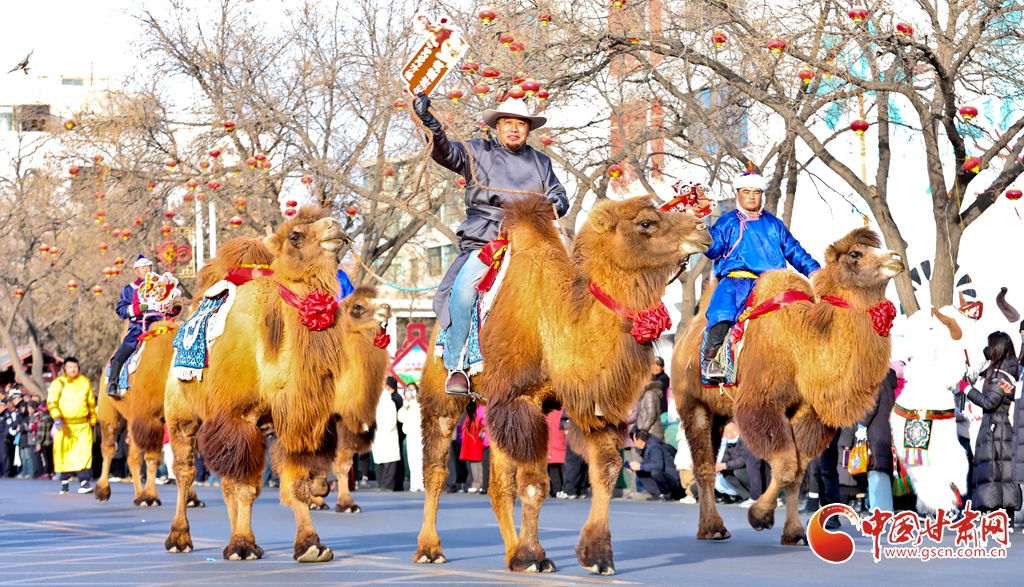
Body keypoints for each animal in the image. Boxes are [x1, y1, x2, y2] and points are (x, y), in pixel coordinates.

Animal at [94, 237, 275, 507]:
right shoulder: (150, 415)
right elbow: (153, 458)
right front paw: (151, 496)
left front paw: (190, 498)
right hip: (110, 412)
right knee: (110, 448)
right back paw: (104, 491)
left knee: (132, 455)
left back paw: (137, 495)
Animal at [163, 208, 390, 562]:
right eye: (295, 235)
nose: (335, 226)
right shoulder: (237, 417)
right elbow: (244, 486)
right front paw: (242, 545)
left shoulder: (300, 418)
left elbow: (297, 481)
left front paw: (310, 544)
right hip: (181, 412)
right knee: (186, 470)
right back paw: (180, 537)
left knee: (231, 481)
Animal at [415, 195, 712, 574]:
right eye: (646, 222)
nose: (702, 228)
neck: (554, 324)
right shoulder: (521, 400)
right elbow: (533, 485)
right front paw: (534, 556)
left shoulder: (587, 403)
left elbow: (607, 468)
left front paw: (596, 555)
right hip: (442, 397)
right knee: (436, 468)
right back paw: (430, 549)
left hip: (492, 408)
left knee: (498, 484)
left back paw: (510, 553)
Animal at [672, 227, 903, 546]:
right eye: (856, 254)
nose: (896, 258)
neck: (802, 348)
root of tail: (682, 342)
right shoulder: (762, 404)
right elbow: (784, 464)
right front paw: (760, 515)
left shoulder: (807, 411)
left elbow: (798, 470)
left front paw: (793, 532)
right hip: (693, 403)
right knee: (704, 466)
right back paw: (714, 528)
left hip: (719, 414)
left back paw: (707, 526)